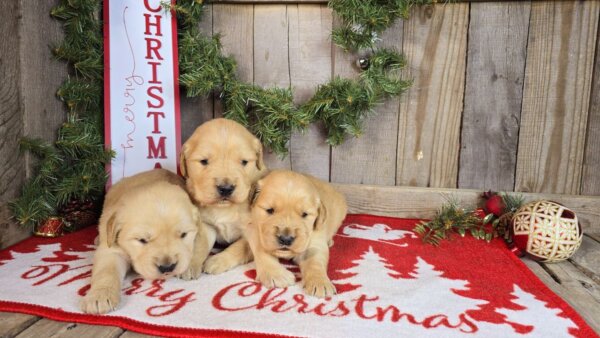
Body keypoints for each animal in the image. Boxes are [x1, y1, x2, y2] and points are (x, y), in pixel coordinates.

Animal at [78, 169, 212, 314]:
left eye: (183, 235)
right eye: (142, 240)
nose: (167, 267)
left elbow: (199, 245)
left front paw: (189, 267)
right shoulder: (112, 250)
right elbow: (106, 271)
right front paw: (100, 295)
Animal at [178, 119, 268, 274]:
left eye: (244, 162)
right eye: (204, 161)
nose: (226, 188)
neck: (225, 208)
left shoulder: (253, 228)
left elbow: (240, 247)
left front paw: (217, 261)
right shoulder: (206, 224)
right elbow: (200, 243)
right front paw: (190, 266)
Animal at [244, 170, 346, 298]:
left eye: (304, 214)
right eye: (269, 210)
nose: (286, 239)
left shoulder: (315, 240)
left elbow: (315, 262)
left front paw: (320, 282)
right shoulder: (253, 229)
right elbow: (261, 251)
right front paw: (276, 275)